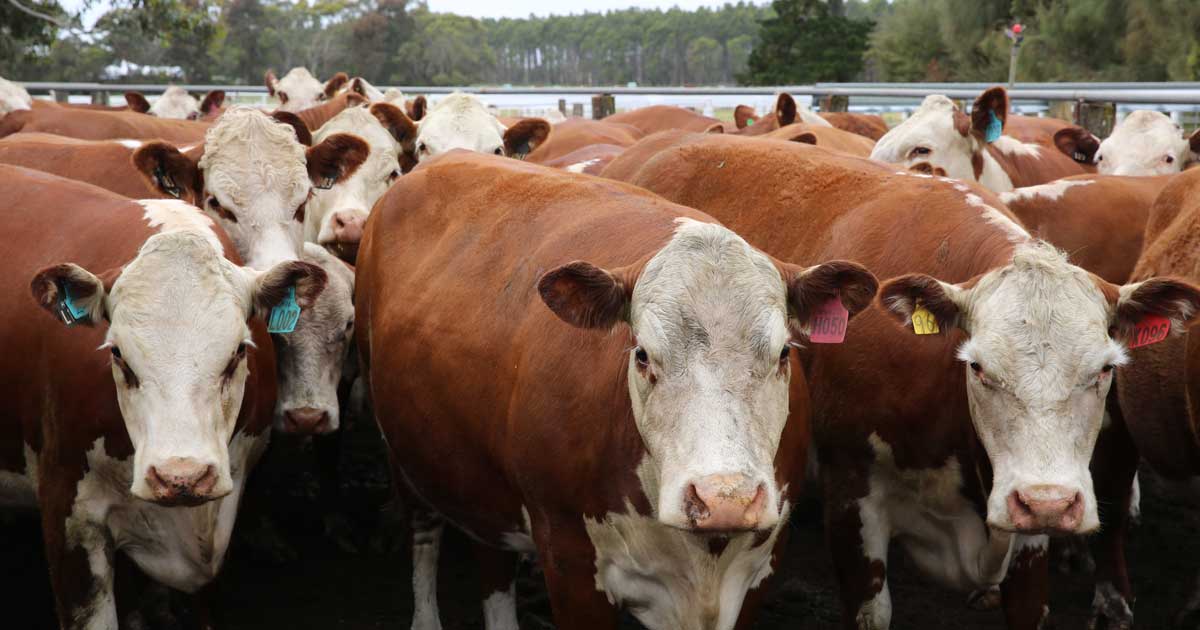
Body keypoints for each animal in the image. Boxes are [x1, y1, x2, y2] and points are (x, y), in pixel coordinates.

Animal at [356, 151, 878, 630]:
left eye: (784, 353)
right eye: (643, 354)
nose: (724, 499)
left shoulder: (759, 569)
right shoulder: (568, 559)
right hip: (404, 454)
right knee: (424, 541)